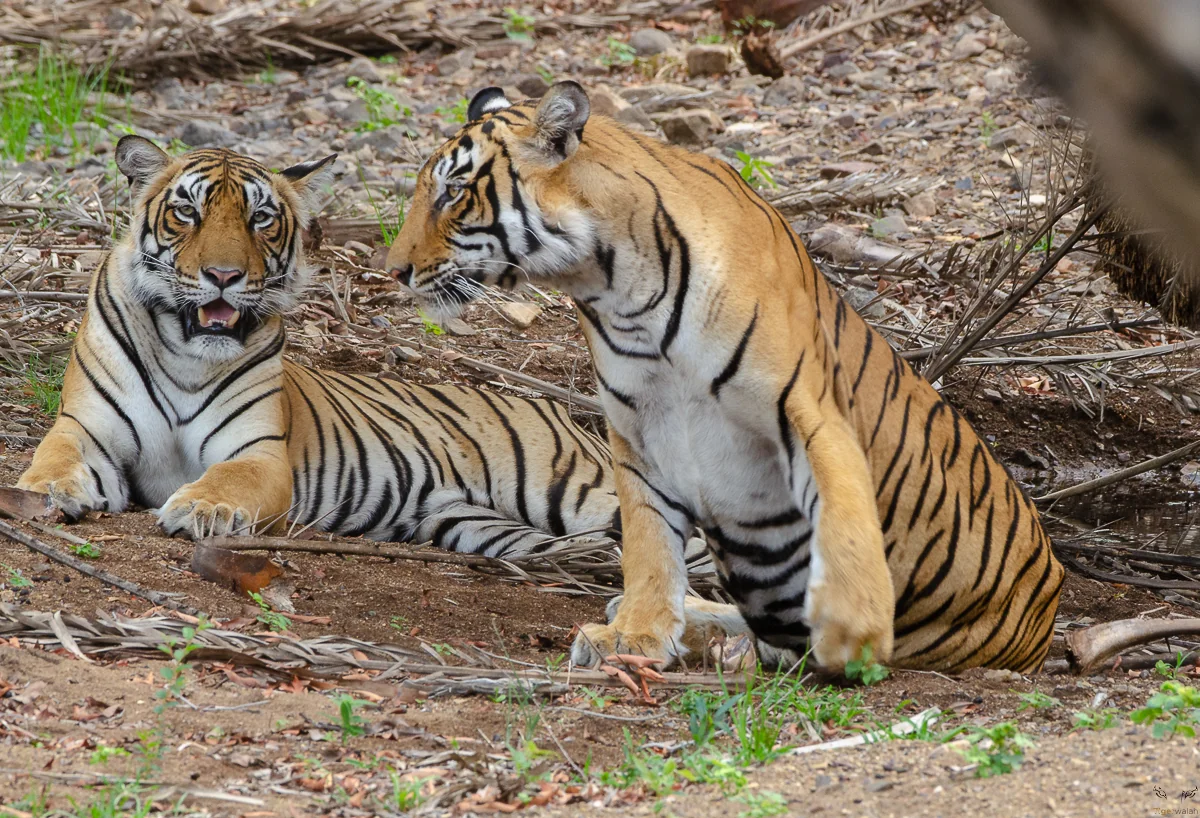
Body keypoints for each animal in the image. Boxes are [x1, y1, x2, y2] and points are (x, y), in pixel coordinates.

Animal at [16, 136, 622, 556]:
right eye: (187, 211)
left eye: (260, 217)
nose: (223, 276)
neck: (186, 351)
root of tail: (562, 413)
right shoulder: (86, 426)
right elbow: (55, 455)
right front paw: (43, 491)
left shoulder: (259, 452)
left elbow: (229, 479)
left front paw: (200, 507)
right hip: (473, 522)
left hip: (579, 489)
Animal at [384, 81, 1066, 673]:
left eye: (453, 192)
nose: (393, 270)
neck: (613, 288)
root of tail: (1051, 598)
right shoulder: (639, 429)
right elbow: (648, 541)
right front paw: (635, 633)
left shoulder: (809, 409)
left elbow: (843, 516)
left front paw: (852, 629)